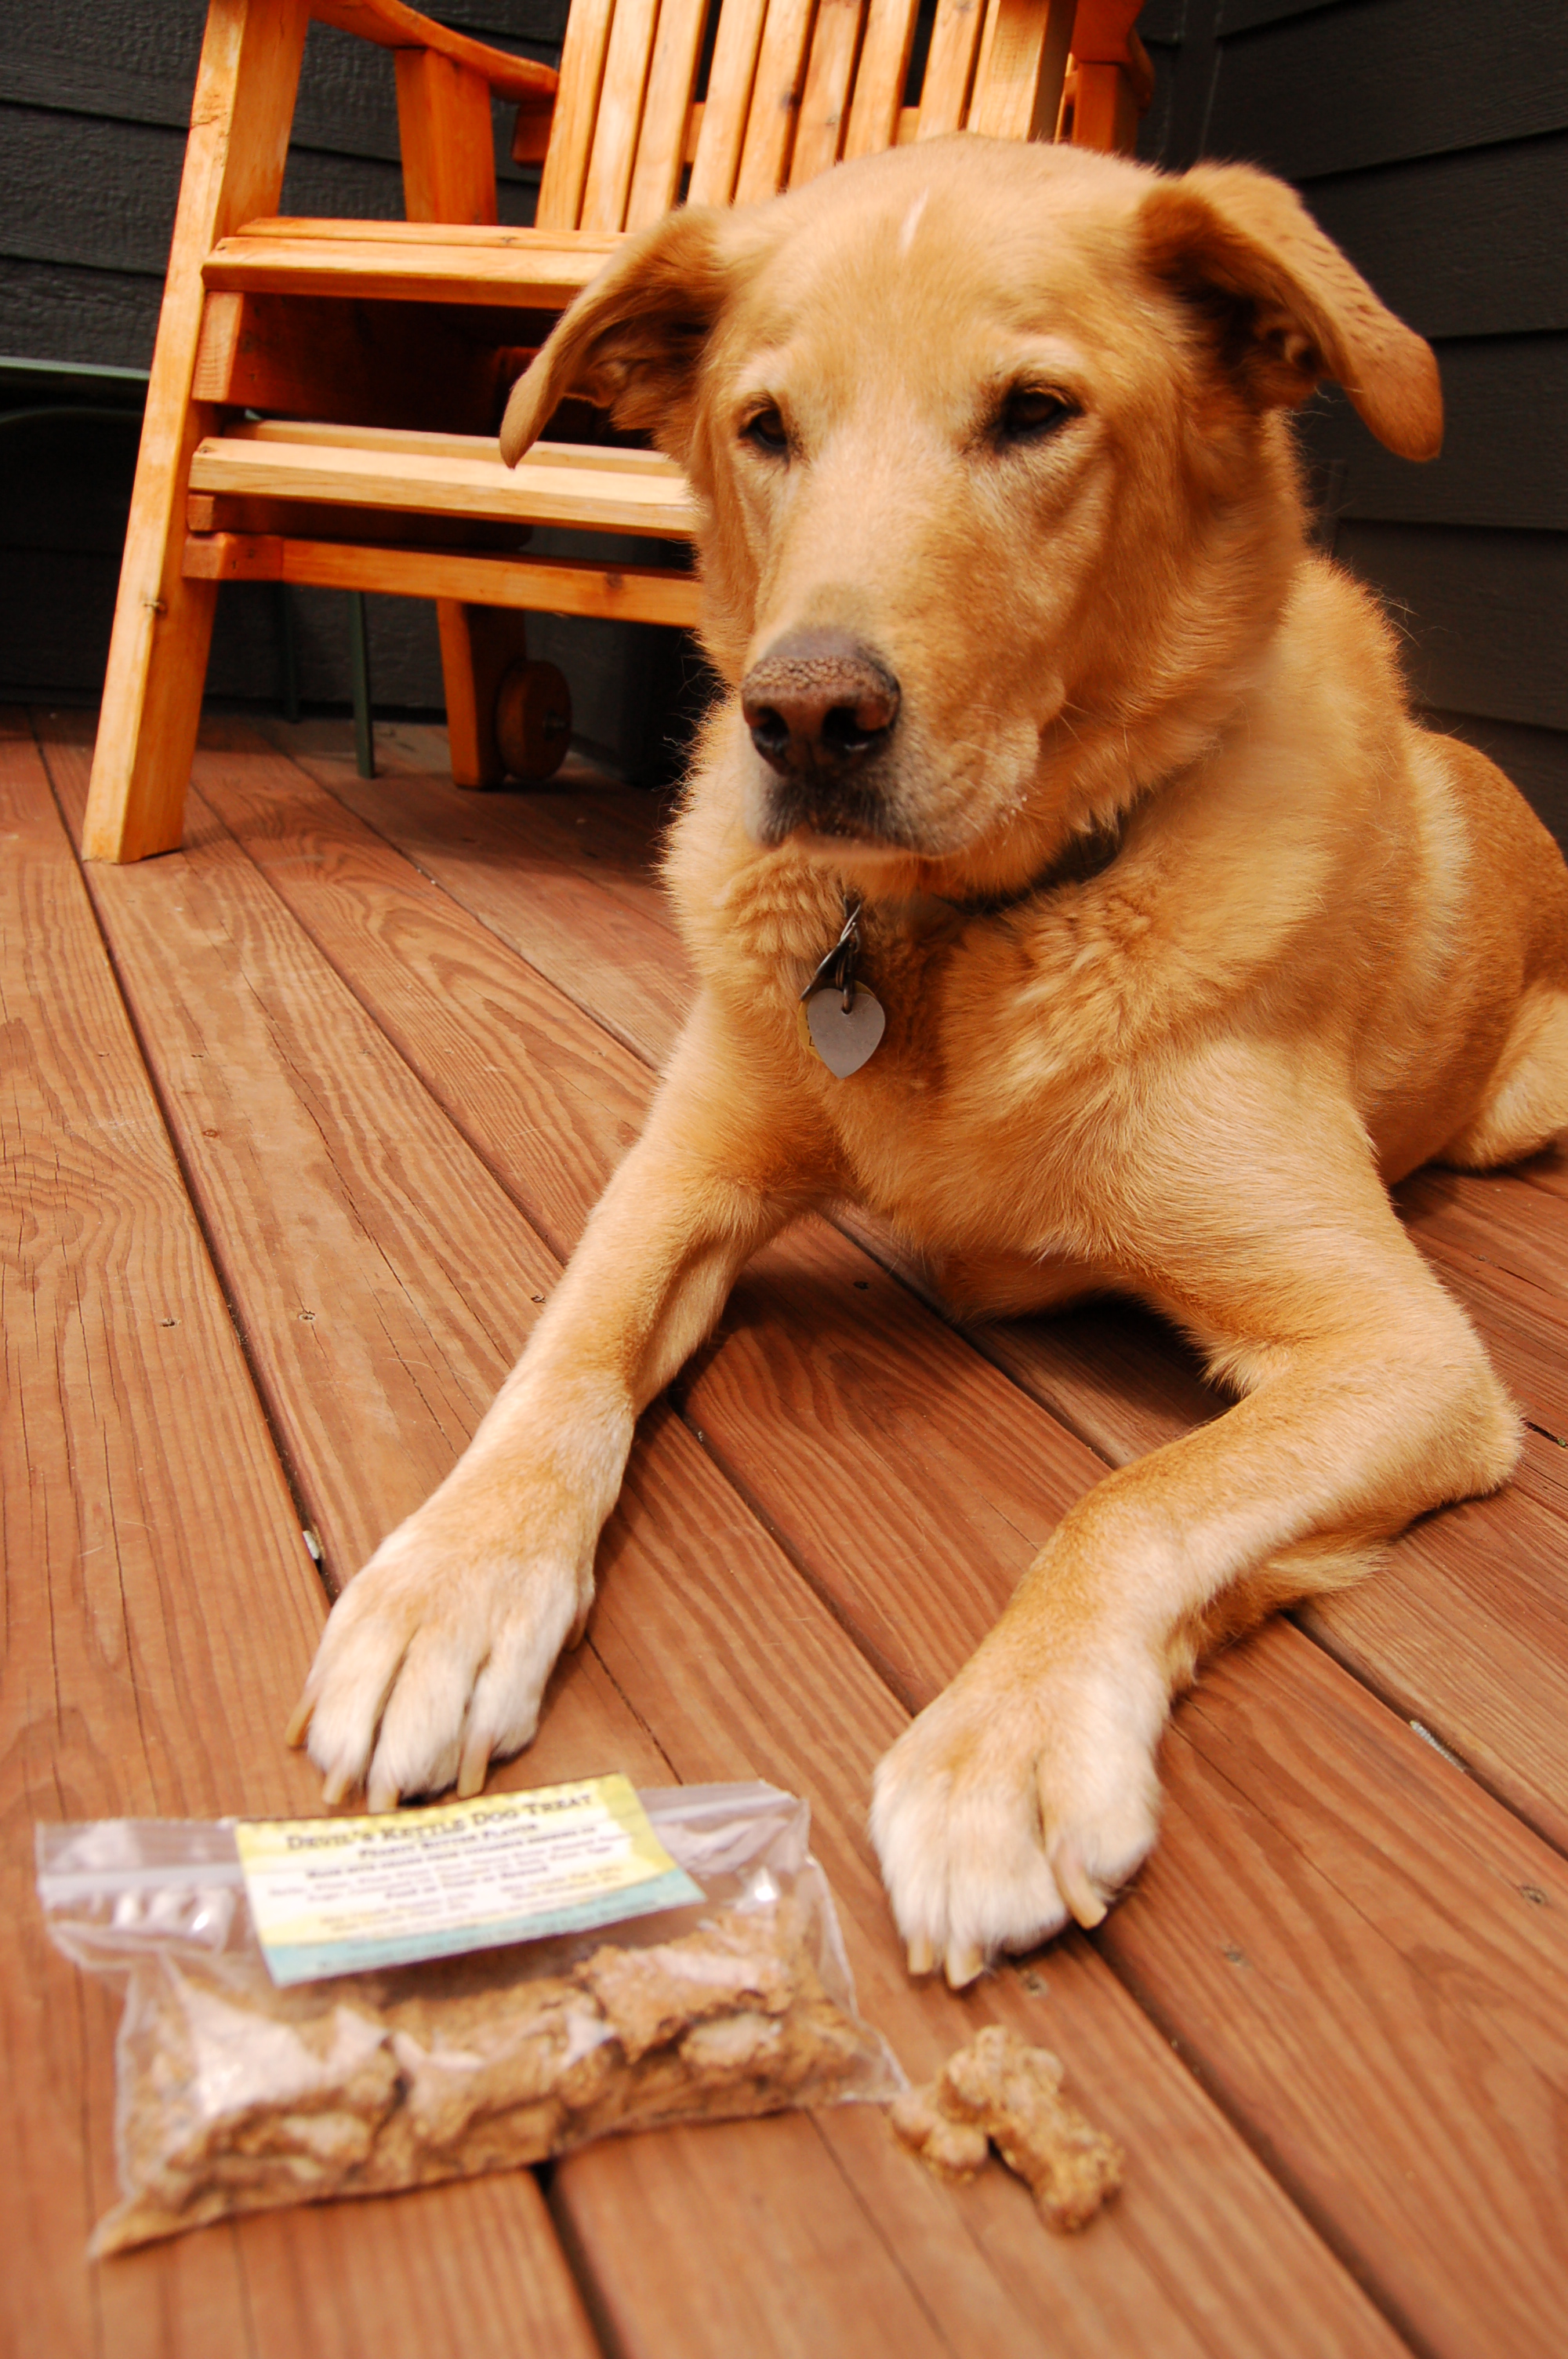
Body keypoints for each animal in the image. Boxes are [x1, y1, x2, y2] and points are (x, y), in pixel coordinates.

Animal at [289, 135, 1568, 1988]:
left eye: (1035, 413)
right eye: (764, 426)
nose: (803, 718)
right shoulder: (680, 1171)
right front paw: (448, 1583)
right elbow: (563, 1358)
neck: (948, 931)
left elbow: (1142, 1499)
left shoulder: (1399, 1349)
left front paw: (1007, 1745)